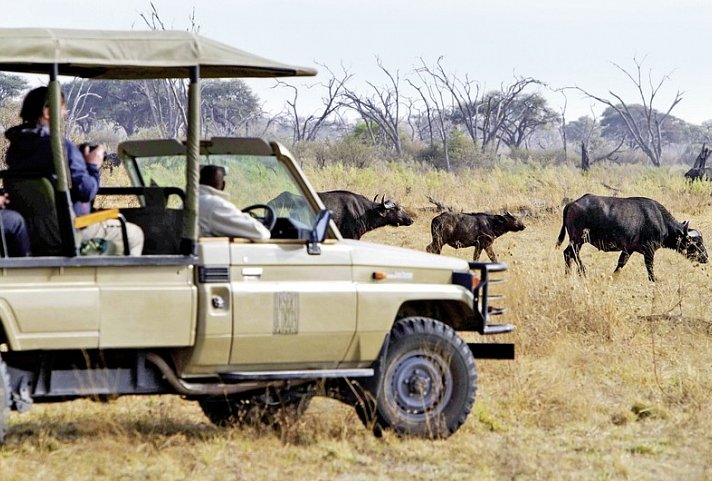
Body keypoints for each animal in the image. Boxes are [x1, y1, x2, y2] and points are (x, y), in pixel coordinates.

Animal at [560, 192, 708, 282]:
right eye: (697, 243)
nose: (706, 258)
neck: (660, 220)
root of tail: (572, 203)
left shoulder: (628, 250)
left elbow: (620, 265)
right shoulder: (649, 251)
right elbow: (650, 268)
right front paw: (653, 281)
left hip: (576, 241)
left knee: (568, 254)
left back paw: (568, 275)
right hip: (578, 240)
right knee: (571, 253)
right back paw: (582, 272)